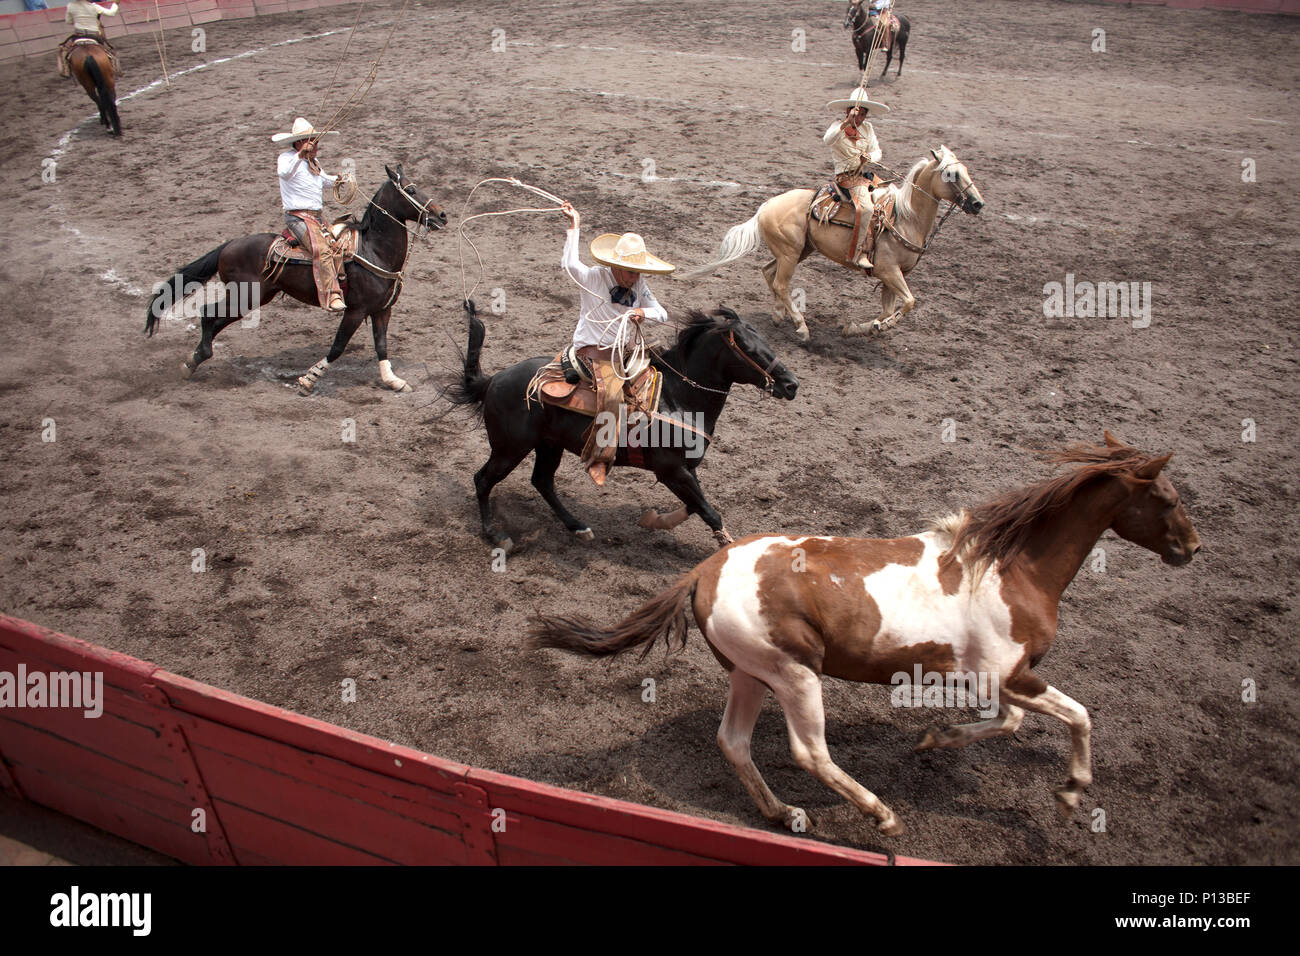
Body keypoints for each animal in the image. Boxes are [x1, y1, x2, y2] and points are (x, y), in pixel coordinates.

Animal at [145, 166, 449, 395]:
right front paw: (308, 380)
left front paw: (392, 381)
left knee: (214, 319)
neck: (373, 250)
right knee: (208, 314)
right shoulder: (355, 311)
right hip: (246, 297)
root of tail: (228, 245)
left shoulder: (382, 310)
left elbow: (382, 345)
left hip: (256, 297)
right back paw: (195, 359)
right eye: (411, 190)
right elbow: (337, 347)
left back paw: (194, 360)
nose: (441, 215)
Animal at [449, 299, 800, 554]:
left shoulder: (685, 469)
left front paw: (653, 520)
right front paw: (726, 541)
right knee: (483, 480)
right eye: (749, 349)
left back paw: (578, 527)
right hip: (510, 448)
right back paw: (496, 535)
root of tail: (493, 380)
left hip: (549, 445)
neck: (679, 397)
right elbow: (708, 510)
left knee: (542, 481)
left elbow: (694, 505)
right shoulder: (671, 470)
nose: (791, 384)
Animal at [533, 434, 1201, 837]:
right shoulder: (1008, 673)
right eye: (1168, 498)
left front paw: (938, 739)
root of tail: (703, 571)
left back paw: (785, 813)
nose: (1192, 549)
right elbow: (1074, 715)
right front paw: (1070, 792)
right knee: (810, 752)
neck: (1012, 569)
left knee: (735, 743)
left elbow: (1014, 720)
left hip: (752, 673)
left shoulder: (994, 678)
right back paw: (882, 816)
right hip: (796, 674)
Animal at [686, 147, 977, 343]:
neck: (906, 217)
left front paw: (860, 328)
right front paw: (878, 327)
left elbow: (889, 309)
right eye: (951, 174)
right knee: (780, 283)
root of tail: (766, 205)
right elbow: (908, 303)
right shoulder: (888, 271)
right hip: (790, 253)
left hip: (798, 250)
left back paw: (780, 315)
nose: (977, 203)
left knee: (769, 274)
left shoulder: (893, 276)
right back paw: (801, 327)